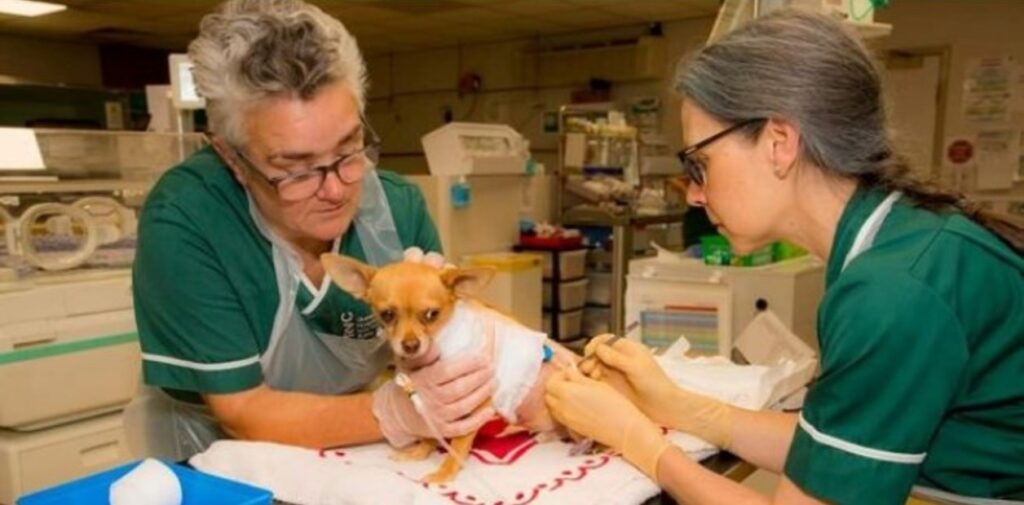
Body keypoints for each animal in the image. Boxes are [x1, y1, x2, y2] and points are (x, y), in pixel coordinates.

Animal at [319, 254, 577, 481]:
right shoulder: (435, 410)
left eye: (432, 314)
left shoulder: (477, 403)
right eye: (387, 315)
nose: (410, 345)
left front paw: (446, 471)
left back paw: (550, 434)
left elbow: (458, 444)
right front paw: (420, 451)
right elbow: (430, 432)